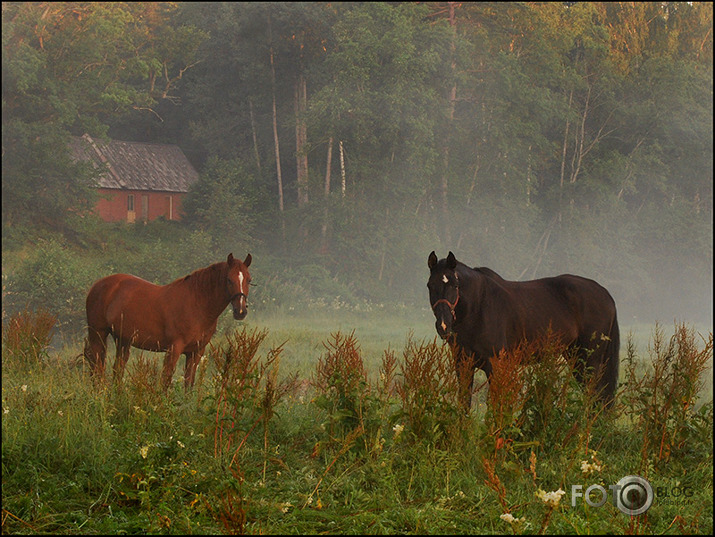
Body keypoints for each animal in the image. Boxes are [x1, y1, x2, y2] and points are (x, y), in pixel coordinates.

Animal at [84, 251, 253, 390]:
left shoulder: (196, 352)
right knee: (97, 369)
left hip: (123, 340)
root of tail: (97, 285)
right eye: (229, 280)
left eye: (249, 280)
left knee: (117, 370)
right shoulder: (174, 349)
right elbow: (166, 380)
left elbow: (189, 383)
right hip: (98, 335)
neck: (197, 304)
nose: (241, 311)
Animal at [426, 251, 620, 410]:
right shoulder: (463, 365)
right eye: (430, 285)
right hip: (576, 358)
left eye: (454, 285)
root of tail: (606, 294)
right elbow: (464, 403)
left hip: (590, 361)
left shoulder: (495, 365)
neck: (479, 307)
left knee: (595, 396)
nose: (443, 325)